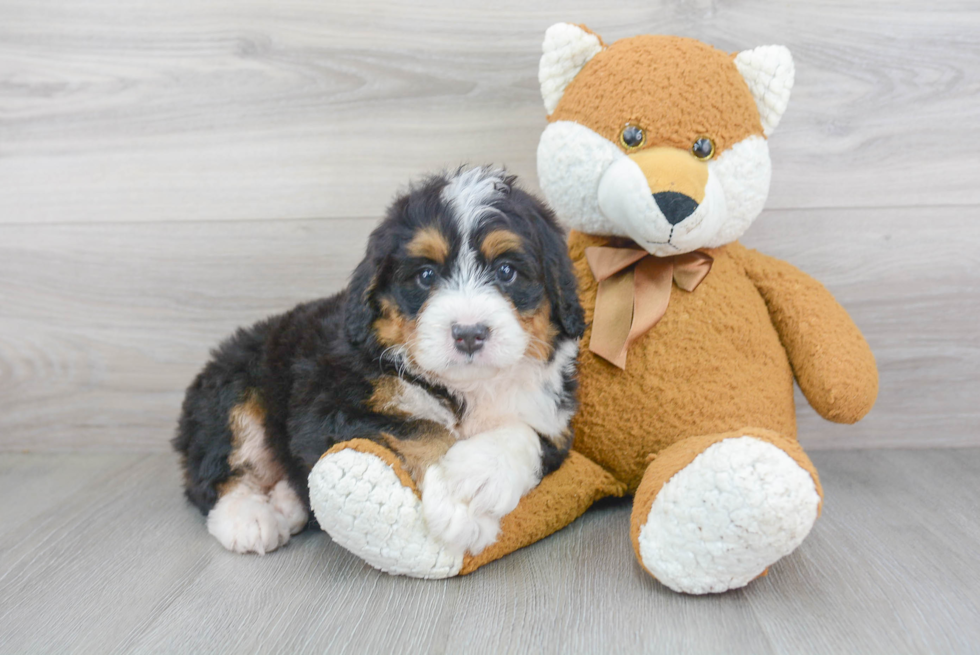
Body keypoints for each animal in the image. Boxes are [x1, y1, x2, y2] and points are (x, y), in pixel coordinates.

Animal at [173, 167, 584, 556]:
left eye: (506, 271)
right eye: (426, 275)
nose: (469, 333)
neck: (465, 387)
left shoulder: (552, 418)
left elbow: (526, 433)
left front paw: (475, 478)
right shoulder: (328, 408)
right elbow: (422, 429)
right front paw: (457, 502)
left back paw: (288, 504)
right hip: (233, 390)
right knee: (217, 472)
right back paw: (250, 519)